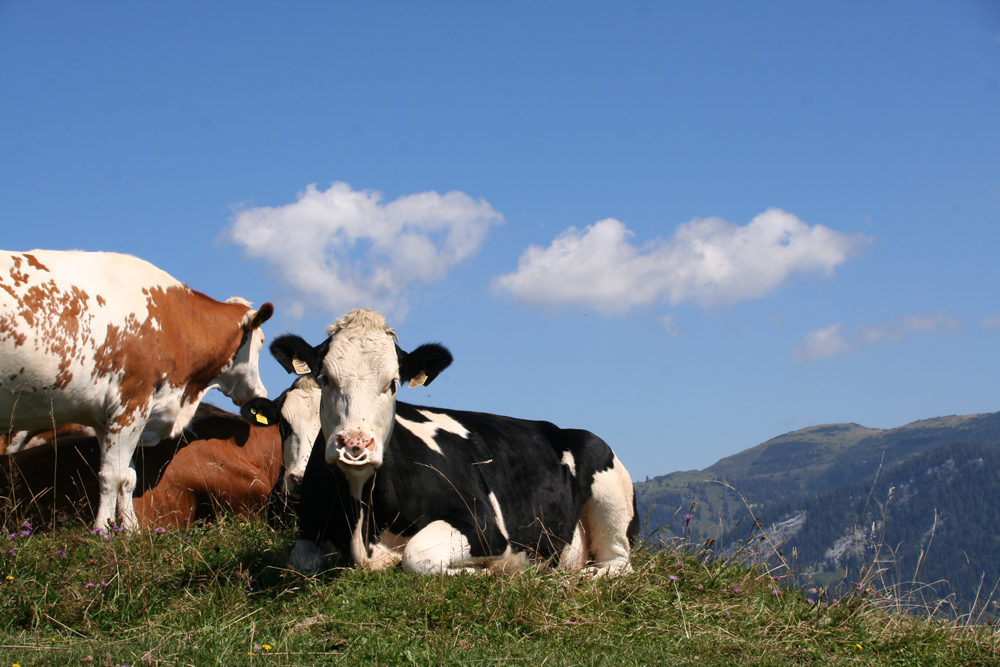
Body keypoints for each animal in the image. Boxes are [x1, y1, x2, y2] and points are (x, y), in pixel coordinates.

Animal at [0, 250, 274, 532]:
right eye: (262, 341)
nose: (260, 392)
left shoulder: (106, 418)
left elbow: (128, 476)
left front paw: (131, 530)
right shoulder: (131, 403)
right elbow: (113, 475)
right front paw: (103, 530)